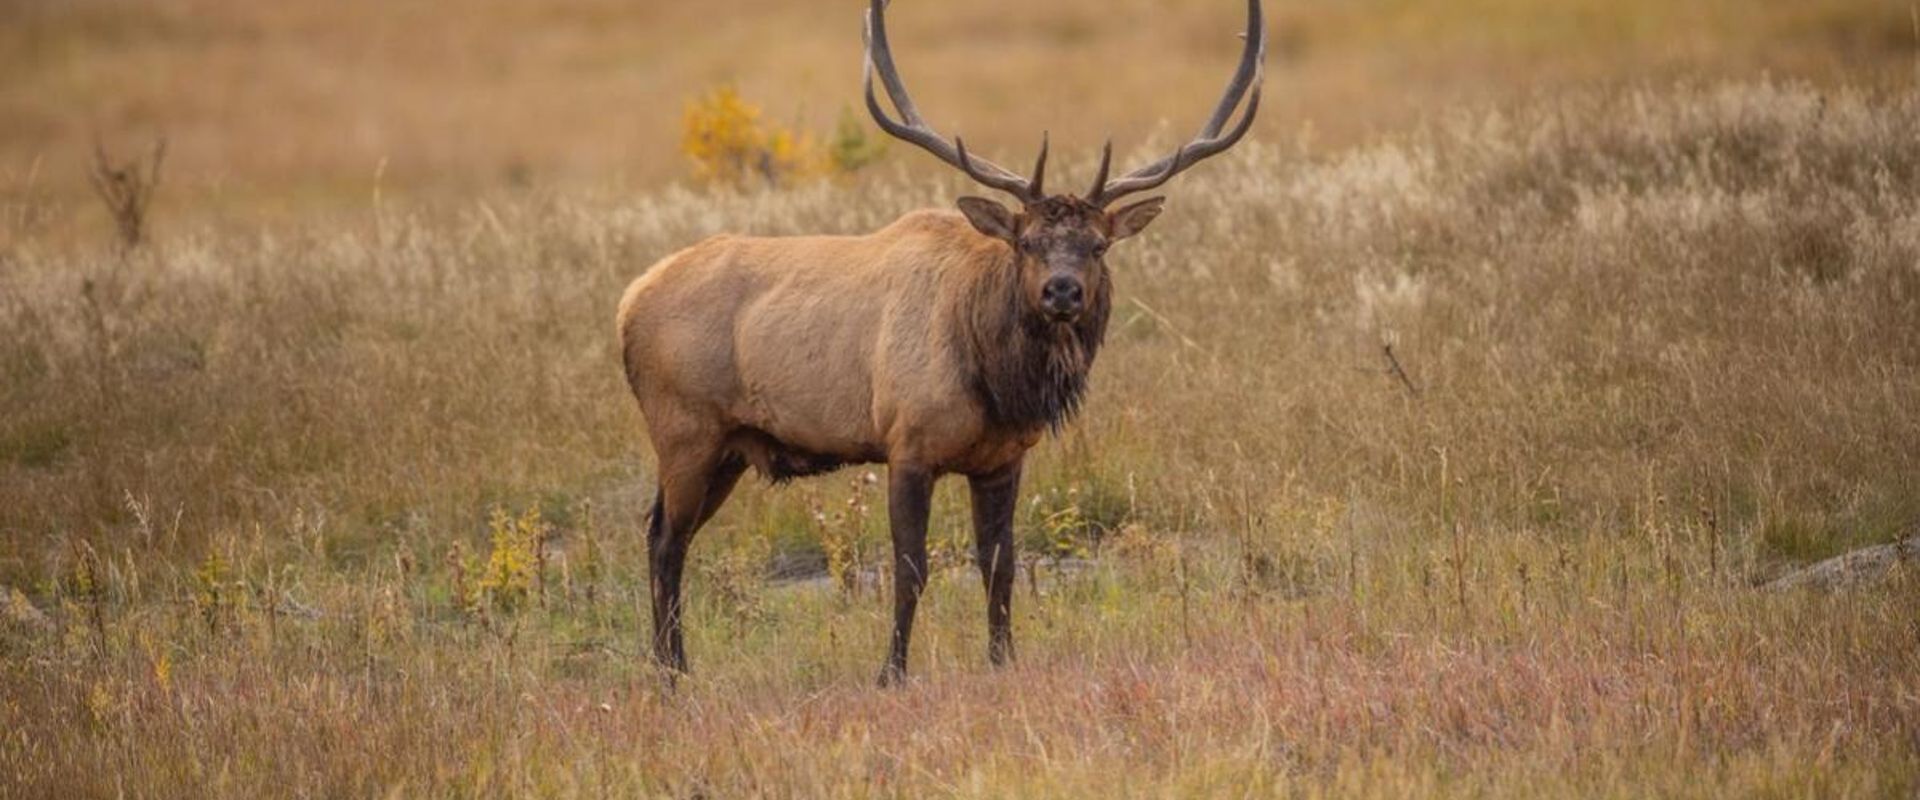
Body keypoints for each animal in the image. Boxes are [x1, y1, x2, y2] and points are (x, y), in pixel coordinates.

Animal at [617, 0, 1264, 685]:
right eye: (1026, 242)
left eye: (1097, 245)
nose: (1062, 291)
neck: (995, 380)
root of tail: (629, 301)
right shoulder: (907, 443)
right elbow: (911, 569)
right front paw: (891, 672)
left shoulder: (1004, 459)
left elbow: (1000, 566)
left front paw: (1003, 659)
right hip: (685, 429)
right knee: (665, 539)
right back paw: (671, 672)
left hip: (730, 448)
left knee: (665, 533)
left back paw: (672, 666)